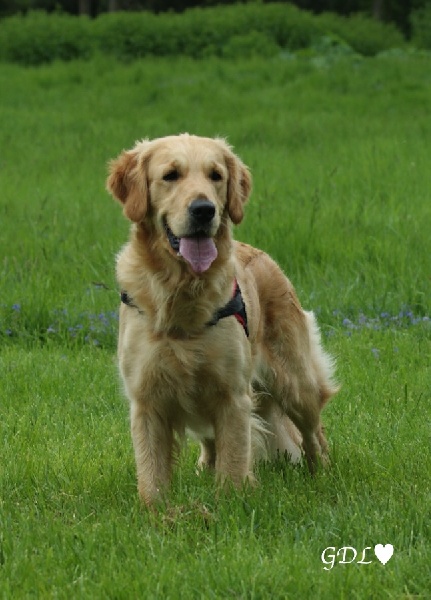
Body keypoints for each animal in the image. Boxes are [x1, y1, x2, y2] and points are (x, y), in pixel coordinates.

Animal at [107, 134, 338, 505]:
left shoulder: (232, 396)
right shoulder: (146, 400)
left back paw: (322, 476)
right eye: (170, 175)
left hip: (295, 383)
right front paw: (157, 512)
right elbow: (152, 474)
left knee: (313, 433)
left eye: (216, 176)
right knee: (211, 444)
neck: (181, 292)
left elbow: (233, 463)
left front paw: (231, 505)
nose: (204, 210)